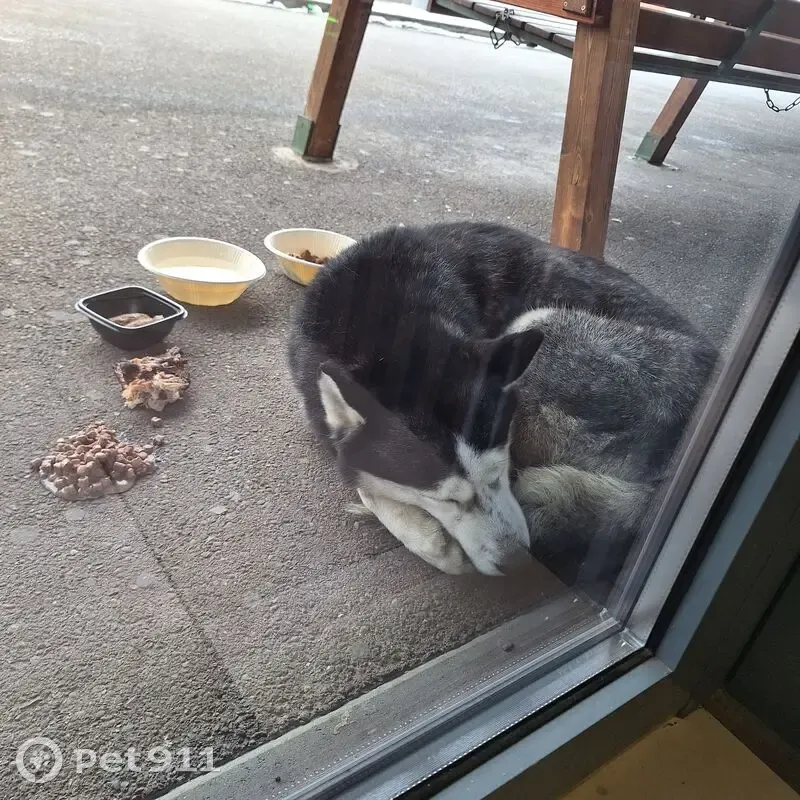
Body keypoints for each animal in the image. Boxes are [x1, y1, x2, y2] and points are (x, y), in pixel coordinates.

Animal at [288, 223, 717, 596]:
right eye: (449, 500)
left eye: (503, 472)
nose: (518, 562)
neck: (388, 317)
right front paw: (422, 530)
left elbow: (361, 480)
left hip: (540, 323)